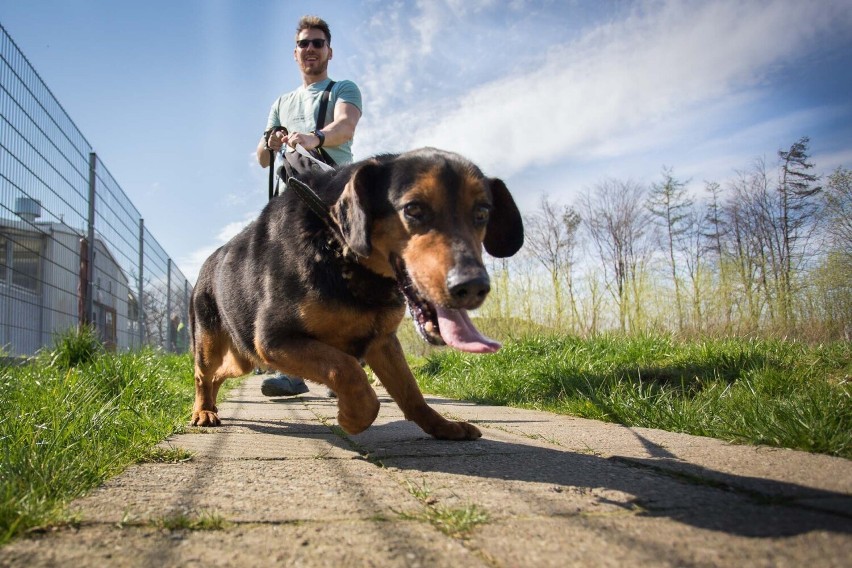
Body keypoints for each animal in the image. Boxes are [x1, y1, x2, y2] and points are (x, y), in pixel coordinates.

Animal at [190, 146, 524, 440]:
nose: (473, 286)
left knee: (218, 376)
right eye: (413, 209)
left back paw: (212, 406)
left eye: (482, 213)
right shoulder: (275, 340)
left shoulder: (382, 340)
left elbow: (411, 391)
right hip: (215, 344)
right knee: (203, 375)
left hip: (243, 356)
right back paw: (203, 411)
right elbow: (347, 370)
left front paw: (442, 427)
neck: (337, 242)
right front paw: (352, 418)